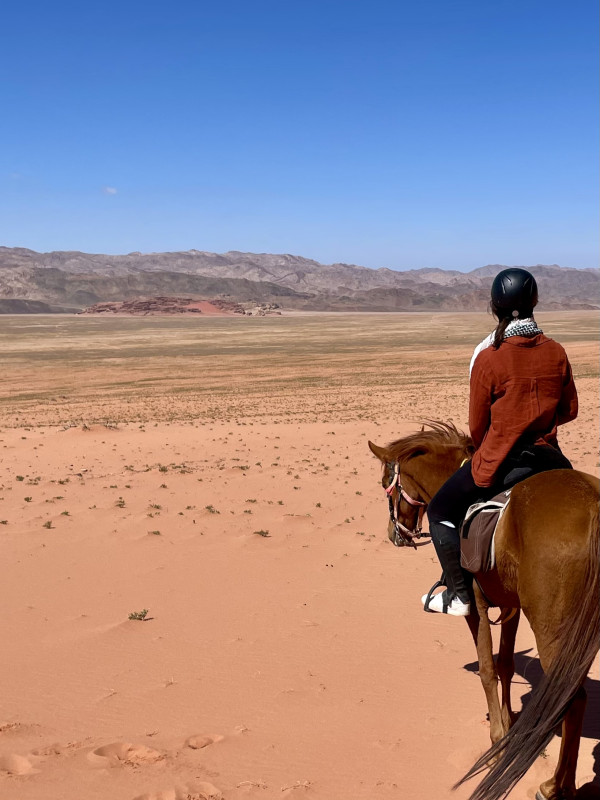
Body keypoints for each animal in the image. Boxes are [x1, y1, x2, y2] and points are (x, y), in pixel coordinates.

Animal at [368, 422, 596, 800]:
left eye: (386, 480)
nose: (394, 534)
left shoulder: (477, 603)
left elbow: (487, 669)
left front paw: (497, 742)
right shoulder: (511, 605)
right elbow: (505, 665)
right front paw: (509, 725)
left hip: (554, 628)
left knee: (572, 697)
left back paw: (555, 786)